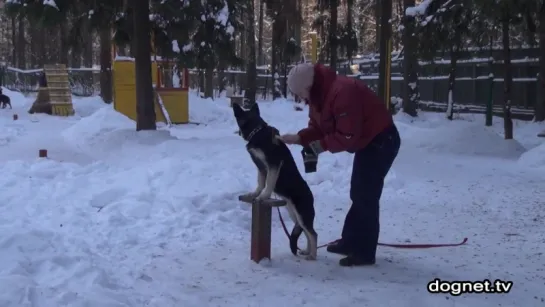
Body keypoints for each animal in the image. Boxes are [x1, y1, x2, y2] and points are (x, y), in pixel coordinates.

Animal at [232, 103, 316, 260]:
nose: (237, 133)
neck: (257, 131)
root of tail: (311, 196)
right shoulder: (260, 167)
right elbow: (260, 182)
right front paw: (255, 194)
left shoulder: (273, 165)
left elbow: (269, 183)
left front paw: (264, 196)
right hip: (294, 214)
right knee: (307, 232)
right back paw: (307, 251)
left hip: (302, 214)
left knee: (313, 234)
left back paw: (312, 255)